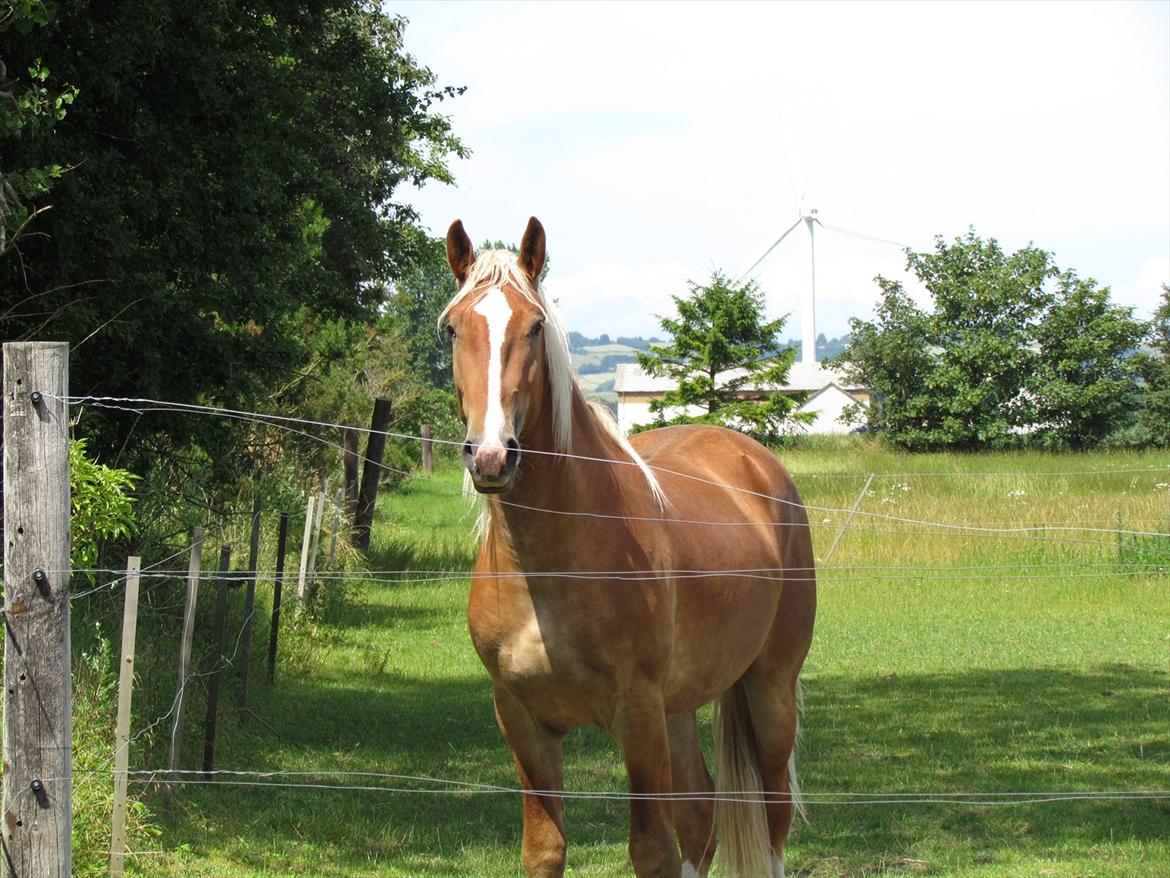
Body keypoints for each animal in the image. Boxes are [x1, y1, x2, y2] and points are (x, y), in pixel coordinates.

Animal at [437, 215, 814, 878]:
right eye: (454, 328)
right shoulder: (523, 722)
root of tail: (760, 464)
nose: (491, 455)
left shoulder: (638, 718)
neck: (551, 569)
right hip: (681, 707)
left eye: (534, 326)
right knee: (702, 817)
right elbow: (545, 849)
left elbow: (651, 849)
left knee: (770, 823)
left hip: (768, 692)